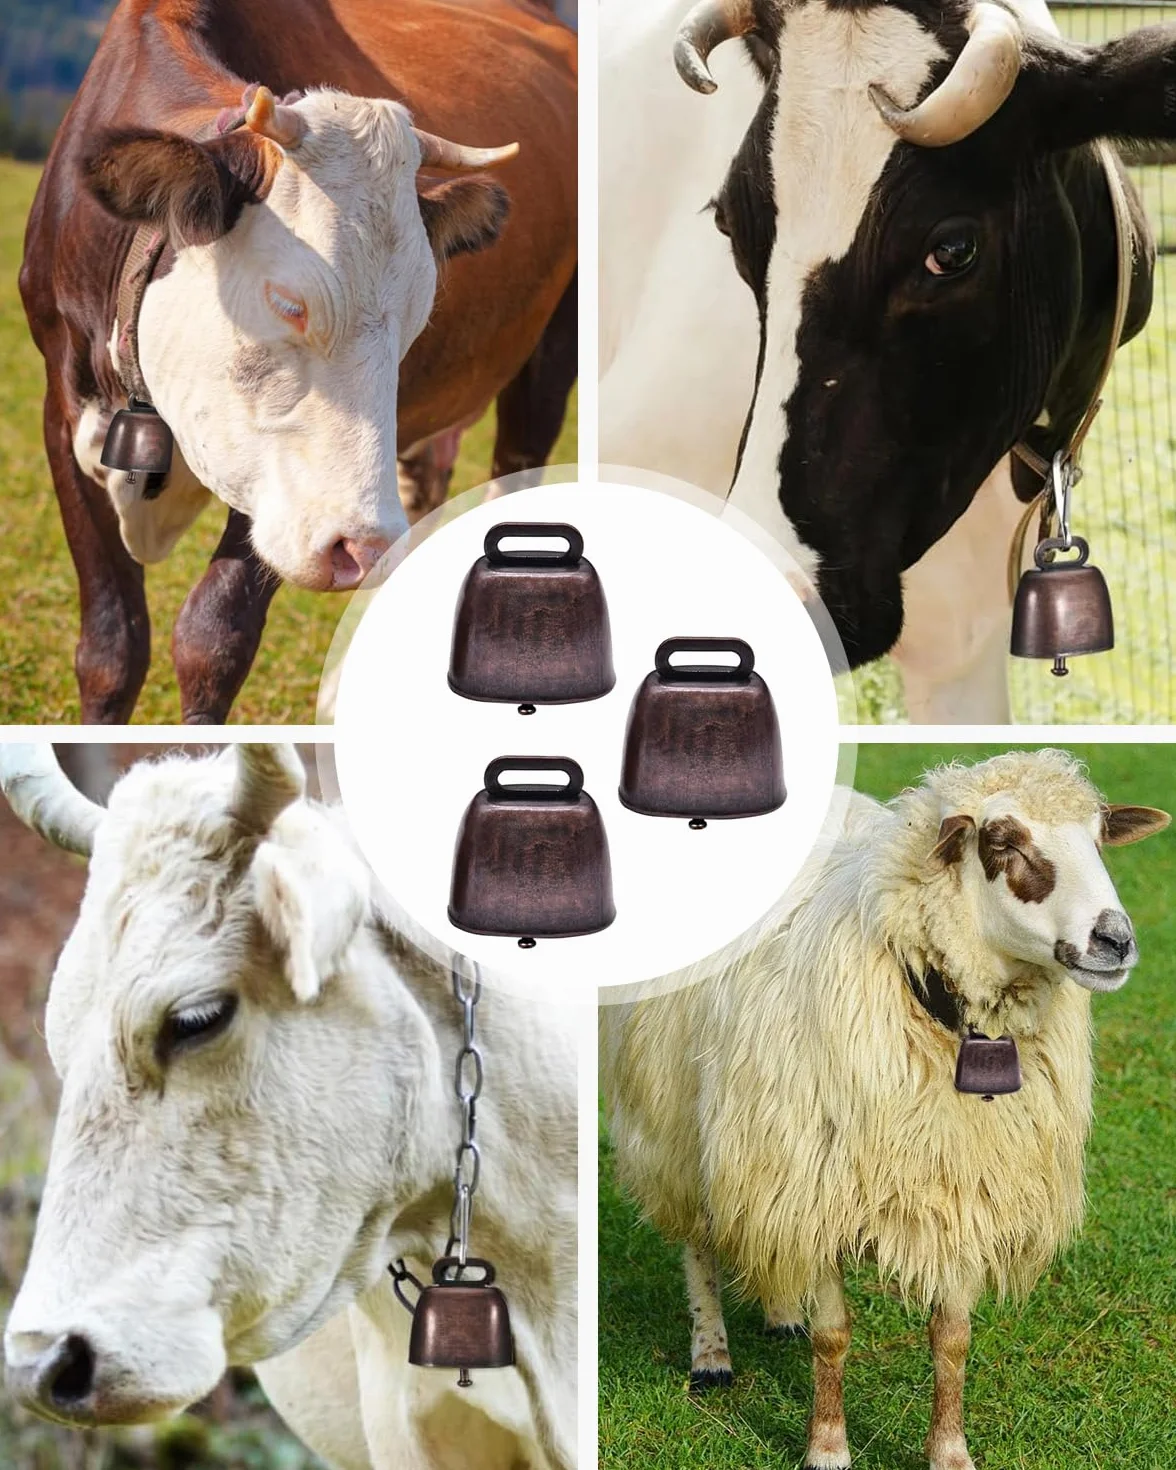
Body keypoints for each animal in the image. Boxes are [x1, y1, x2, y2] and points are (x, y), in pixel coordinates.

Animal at [22, 0, 577, 724]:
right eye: (289, 302)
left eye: (418, 310)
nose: (361, 546)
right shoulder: (60, 408)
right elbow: (111, 650)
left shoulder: (285, 489)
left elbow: (211, 639)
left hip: (546, 369)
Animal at [601, 749, 1169, 1470]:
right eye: (1002, 841)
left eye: (1099, 838)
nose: (1115, 942)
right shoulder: (818, 1185)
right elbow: (834, 1336)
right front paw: (827, 1449)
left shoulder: (963, 1185)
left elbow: (952, 1338)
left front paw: (950, 1452)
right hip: (674, 1115)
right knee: (697, 1243)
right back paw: (712, 1357)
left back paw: (781, 1314)